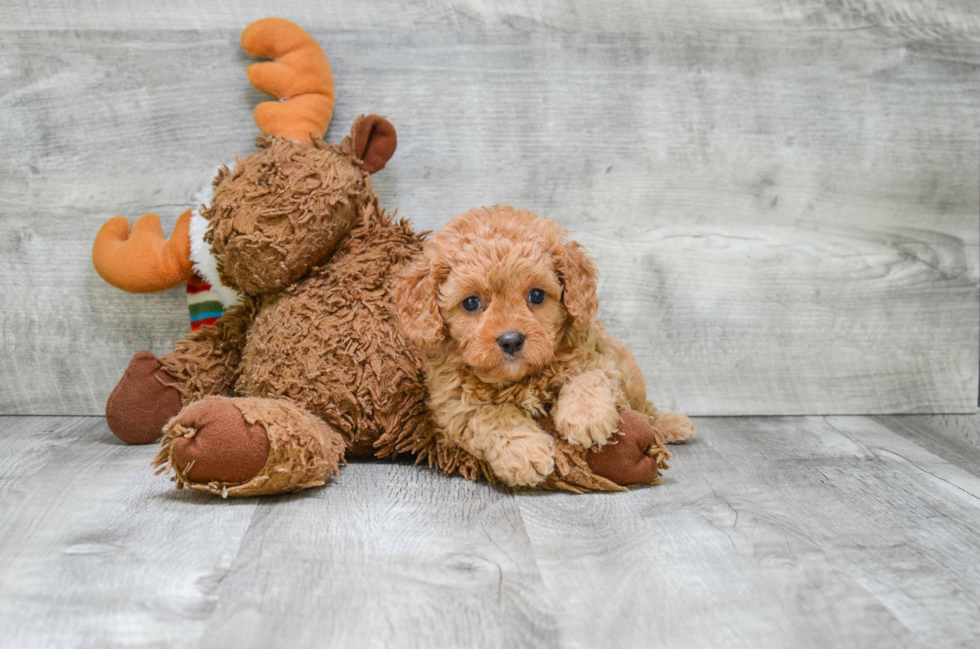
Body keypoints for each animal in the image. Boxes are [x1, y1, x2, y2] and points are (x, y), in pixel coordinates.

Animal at [394, 204, 692, 486]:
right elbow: (492, 415)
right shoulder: (453, 406)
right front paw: (524, 453)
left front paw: (586, 416)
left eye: (536, 295)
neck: (521, 379)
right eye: (471, 302)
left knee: (645, 409)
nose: (511, 340)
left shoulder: (601, 360)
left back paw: (673, 424)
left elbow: (588, 376)